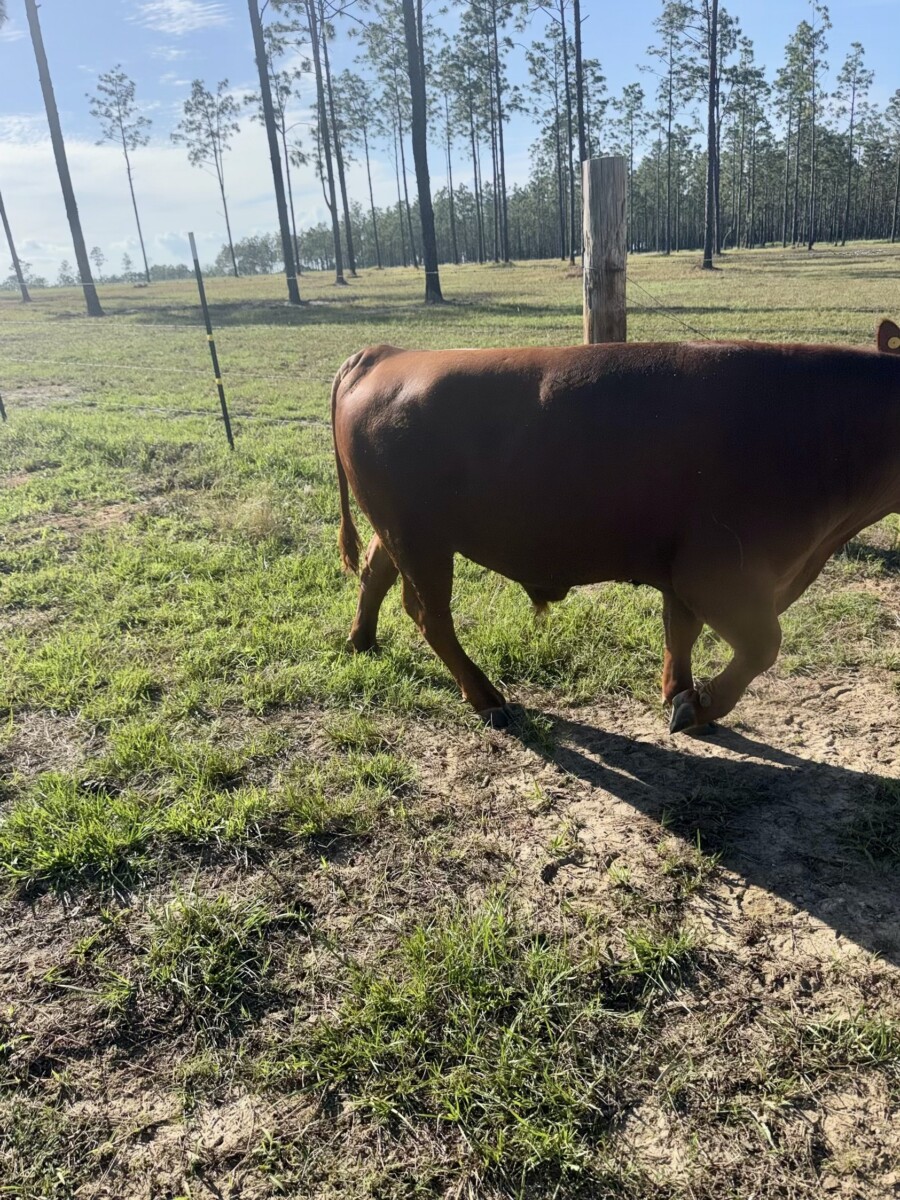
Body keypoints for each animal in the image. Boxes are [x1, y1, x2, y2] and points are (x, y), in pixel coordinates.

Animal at [331, 320, 900, 734]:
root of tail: (386, 354)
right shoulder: (719, 574)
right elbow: (762, 645)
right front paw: (698, 707)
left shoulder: (686, 573)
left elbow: (681, 631)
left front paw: (678, 693)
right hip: (419, 539)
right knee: (429, 615)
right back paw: (488, 699)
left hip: (399, 532)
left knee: (374, 573)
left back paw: (362, 641)